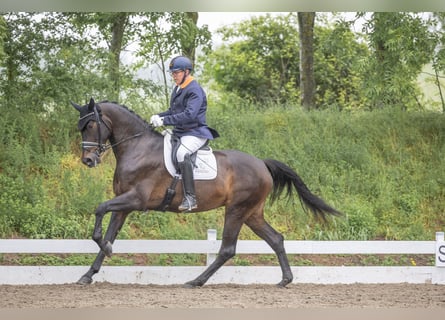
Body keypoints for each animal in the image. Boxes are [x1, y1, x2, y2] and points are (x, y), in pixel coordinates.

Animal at [71, 98, 340, 288]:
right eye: (81, 127)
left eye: (91, 125)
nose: (88, 160)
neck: (138, 148)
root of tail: (262, 164)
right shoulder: (124, 205)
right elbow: (109, 232)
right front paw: (89, 272)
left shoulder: (136, 199)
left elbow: (100, 209)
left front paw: (105, 249)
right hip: (252, 213)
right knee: (276, 239)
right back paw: (285, 279)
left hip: (236, 210)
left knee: (227, 249)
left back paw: (196, 281)